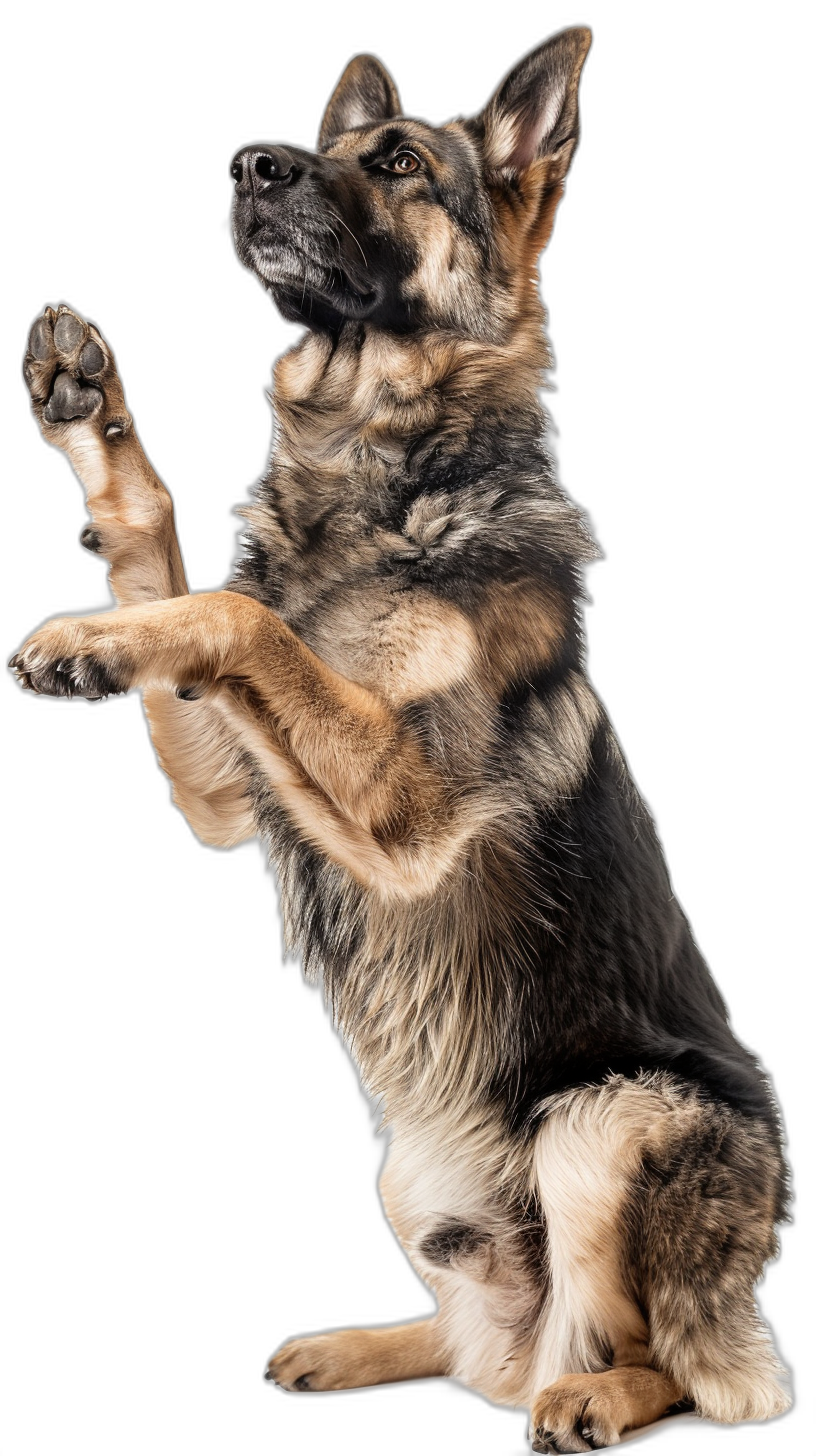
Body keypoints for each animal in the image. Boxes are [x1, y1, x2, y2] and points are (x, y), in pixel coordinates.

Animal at [11, 25, 792, 1456]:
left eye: (397, 163)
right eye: (327, 147)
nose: (247, 163)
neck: (370, 456)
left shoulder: (402, 802)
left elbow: (241, 619)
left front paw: (87, 630)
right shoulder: (226, 786)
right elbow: (188, 581)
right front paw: (90, 426)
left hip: (602, 1121)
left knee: (662, 1366)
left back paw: (597, 1397)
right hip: (407, 1172)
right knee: (488, 1347)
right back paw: (361, 1346)